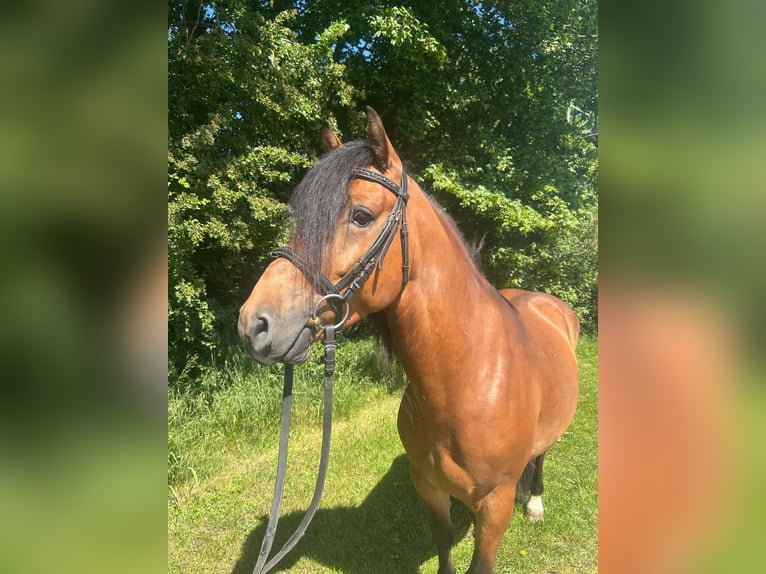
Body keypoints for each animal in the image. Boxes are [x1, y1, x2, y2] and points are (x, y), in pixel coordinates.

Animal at [238, 107, 580, 573]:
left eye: (361, 216)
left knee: (541, 456)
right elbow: (444, 540)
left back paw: (536, 503)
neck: (468, 384)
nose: (254, 324)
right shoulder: (429, 487)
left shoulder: (495, 507)